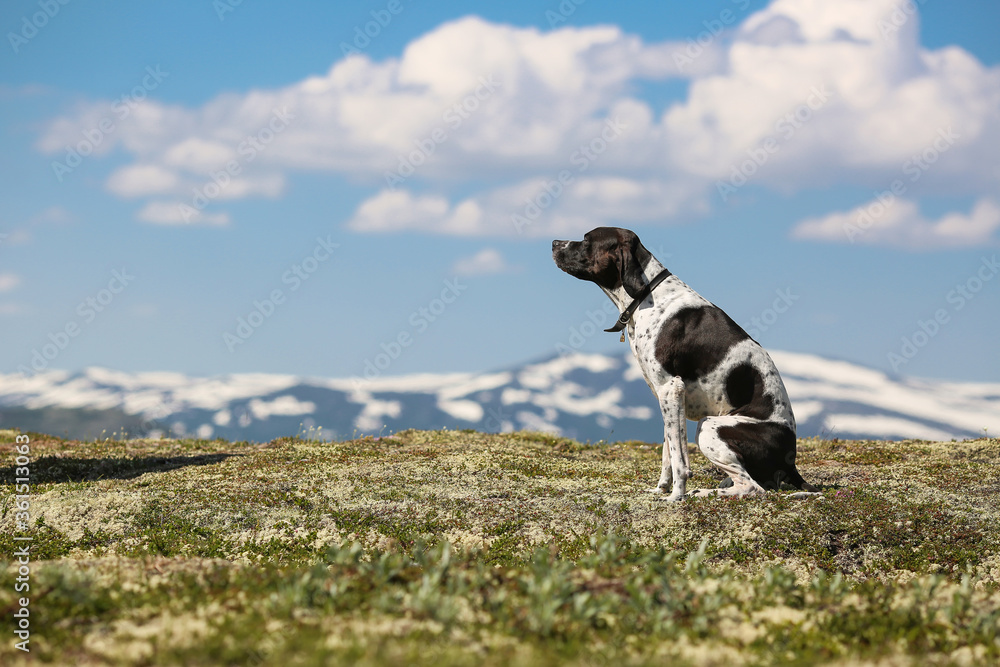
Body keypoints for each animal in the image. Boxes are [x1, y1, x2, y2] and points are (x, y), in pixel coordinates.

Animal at [552, 228, 816, 500]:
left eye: (586, 240)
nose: (553, 242)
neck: (647, 295)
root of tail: (791, 463)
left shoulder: (670, 389)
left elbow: (679, 458)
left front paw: (675, 497)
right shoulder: (666, 397)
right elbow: (668, 452)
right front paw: (660, 489)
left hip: (710, 427)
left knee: (752, 487)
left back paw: (704, 492)